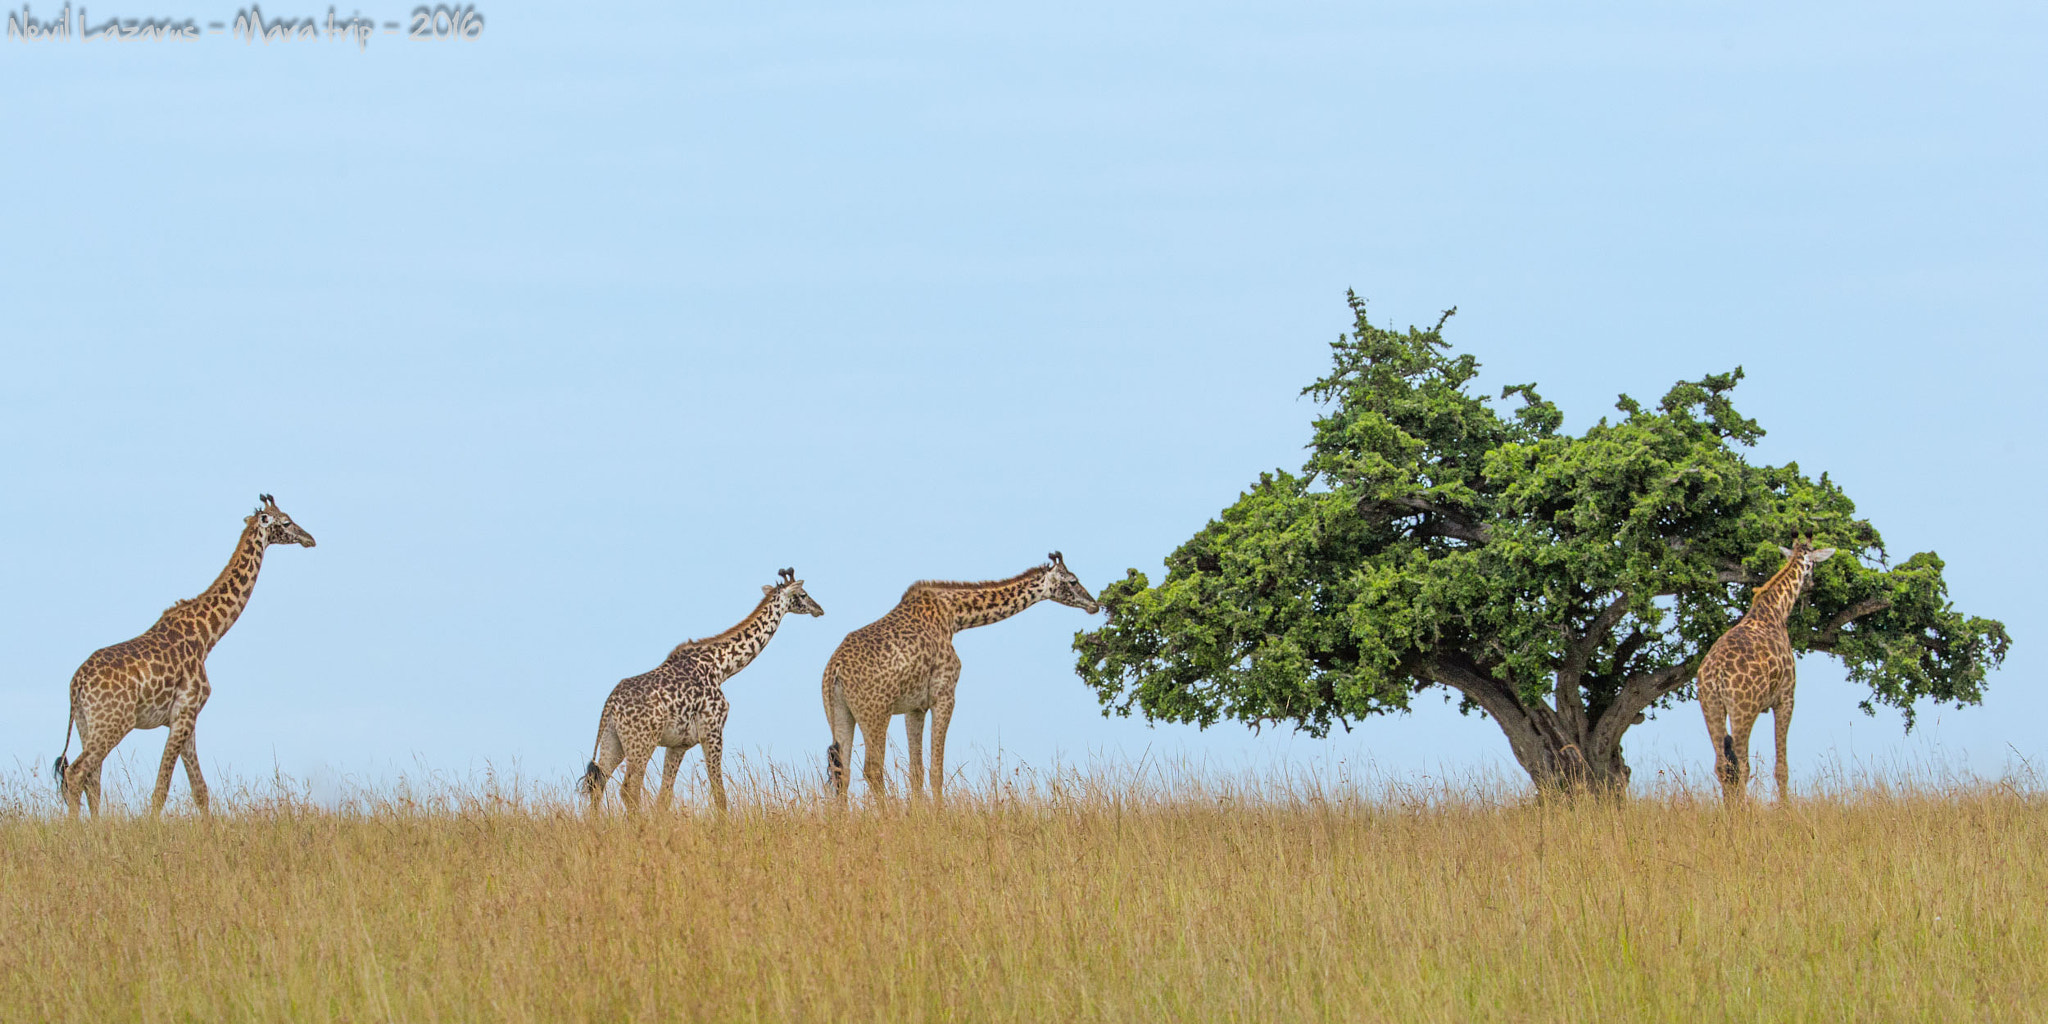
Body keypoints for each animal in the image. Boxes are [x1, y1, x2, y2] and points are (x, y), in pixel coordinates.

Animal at [48, 491, 315, 819]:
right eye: (286, 522)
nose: (310, 538)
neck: (207, 635)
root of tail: (76, 684)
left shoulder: (188, 718)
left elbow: (200, 791)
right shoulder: (184, 713)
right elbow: (161, 789)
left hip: (87, 724)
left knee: (92, 777)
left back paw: (94, 827)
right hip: (114, 722)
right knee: (77, 772)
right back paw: (76, 827)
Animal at [581, 569, 819, 815]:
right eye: (803, 594)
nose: (819, 609)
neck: (721, 667)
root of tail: (610, 705)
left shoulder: (678, 744)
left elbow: (664, 798)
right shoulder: (712, 731)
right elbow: (719, 793)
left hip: (613, 741)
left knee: (598, 784)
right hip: (642, 742)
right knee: (629, 788)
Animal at [819, 552, 1097, 806]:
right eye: (1073, 581)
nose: (1093, 604)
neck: (953, 616)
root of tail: (835, 669)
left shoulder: (915, 707)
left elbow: (917, 770)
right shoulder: (944, 695)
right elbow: (936, 770)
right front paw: (937, 816)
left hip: (840, 712)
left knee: (842, 772)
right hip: (876, 713)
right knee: (872, 769)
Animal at [1695, 536, 1843, 798]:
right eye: (1814, 564)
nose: (1812, 584)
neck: (1777, 609)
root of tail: (1716, 675)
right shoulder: (1785, 698)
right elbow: (1781, 768)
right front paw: (1785, 807)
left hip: (1710, 705)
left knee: (1723, 765)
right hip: (1743, 709)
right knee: (1741, 765)